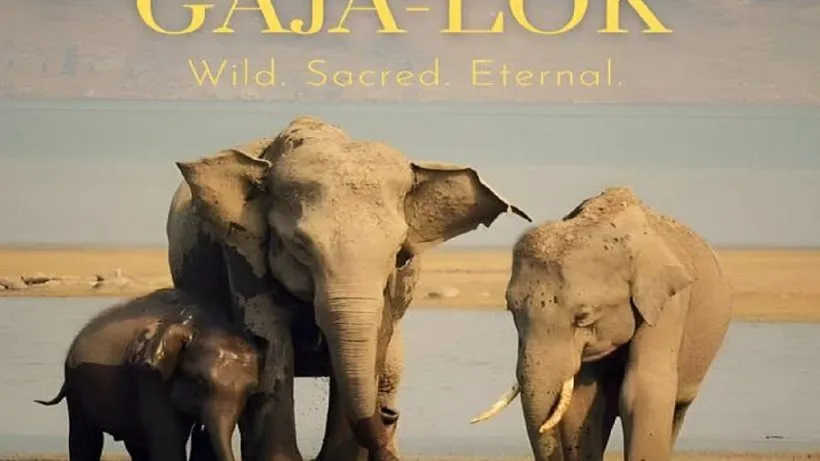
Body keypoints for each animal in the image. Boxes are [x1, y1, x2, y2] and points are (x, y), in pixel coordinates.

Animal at [34, 288, 260, 461]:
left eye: (250, 393)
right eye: (199, 382)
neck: (201, 324)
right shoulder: (150, 376)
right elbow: (168, 439)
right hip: (75, 384)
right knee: (86, 439)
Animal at [166, 116, 532, 461]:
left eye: (398, 252)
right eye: (300, 245)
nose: (388, 414)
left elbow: (378, 338)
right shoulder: (241, 253)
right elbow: (270, 339)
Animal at [470, 186, 732, 461]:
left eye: (583, 317)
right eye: (512, 311)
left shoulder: (669, 303)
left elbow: (643, 390)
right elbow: (581, 401)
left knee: (676, 410)